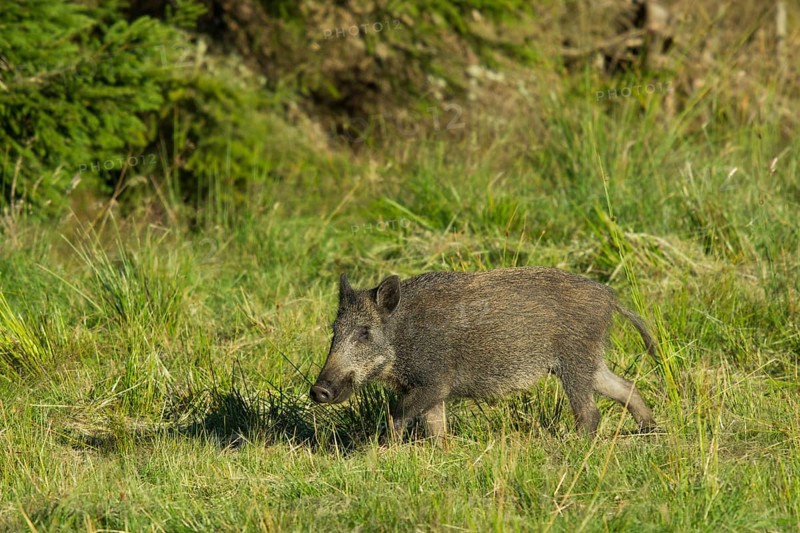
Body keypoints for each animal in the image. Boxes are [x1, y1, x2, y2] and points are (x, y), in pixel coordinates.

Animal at [310, 268, 659, 437]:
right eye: (334, 330)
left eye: (364, 332)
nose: (318, 391)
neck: (402, 337)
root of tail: (610, 297)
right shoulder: (429, 390)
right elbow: (436, 428)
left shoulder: (434, 382)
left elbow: (397, 417)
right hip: (589, 361)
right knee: (627, 388)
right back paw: (650, 430)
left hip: (574, 361)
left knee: (590, 412)